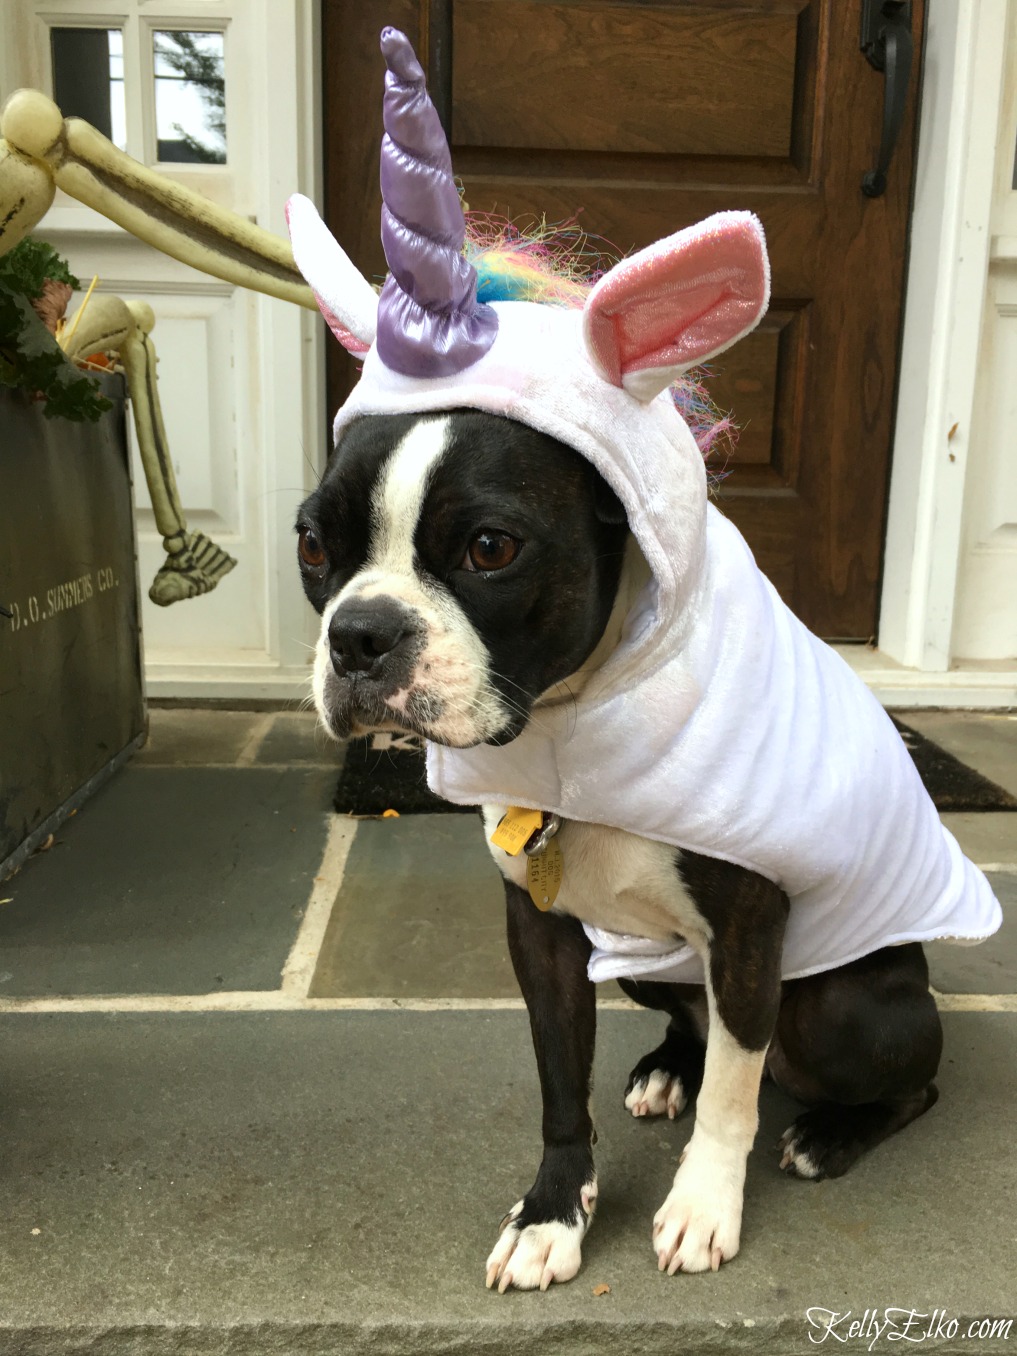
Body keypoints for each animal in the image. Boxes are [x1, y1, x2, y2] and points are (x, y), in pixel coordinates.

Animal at [296, 409, 949, 1290]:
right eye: (311, 544)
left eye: (491, 548)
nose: (358, 633)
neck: (568, 721)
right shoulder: (539, 935)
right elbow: (560, 1083)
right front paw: (549, 1216)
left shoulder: (746, 935)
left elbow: (729, 1101)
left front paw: (703, 1208)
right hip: (643, 966)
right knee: (697, 1029)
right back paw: (668, 1068)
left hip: (839, 1016)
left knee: (906, 1085)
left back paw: (827, 1135)